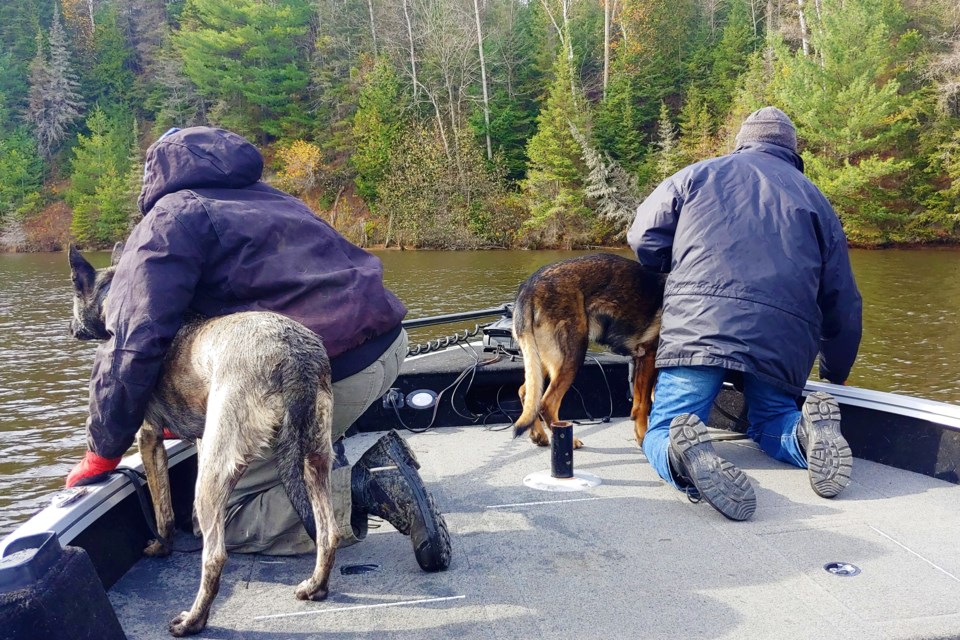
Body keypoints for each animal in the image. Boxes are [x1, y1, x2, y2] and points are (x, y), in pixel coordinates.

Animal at [68, 245, 338, 636]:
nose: (70, 328)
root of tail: (293, 356)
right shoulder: (197, 439)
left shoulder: (148, 435)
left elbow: (161, 507)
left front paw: (160, 547)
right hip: (314, 457)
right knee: (329, 532)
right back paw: (316, 586)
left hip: (213, 473)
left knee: (215, 556)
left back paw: (193, 620)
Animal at [512, 252, 664, 448]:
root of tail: (529, 286)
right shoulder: (649, 356)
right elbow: (643, 405)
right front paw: (644, 438)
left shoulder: (643, 361)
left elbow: (644, 401)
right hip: (572, 355)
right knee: (546, 403)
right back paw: (566, 440)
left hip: (543, 359)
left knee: (527, 393)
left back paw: (539, 435)